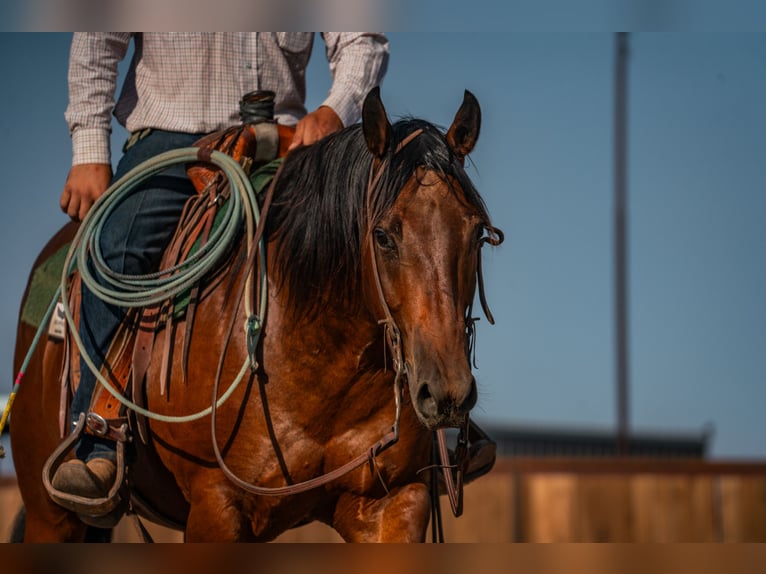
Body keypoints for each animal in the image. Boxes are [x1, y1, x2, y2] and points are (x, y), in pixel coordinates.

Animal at [9, 88, 503, 542]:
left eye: (478, 232)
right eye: (383, 236)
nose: (447, 392)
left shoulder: (393, 503)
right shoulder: (218, 507)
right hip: (50, 516)